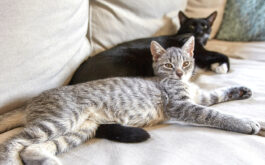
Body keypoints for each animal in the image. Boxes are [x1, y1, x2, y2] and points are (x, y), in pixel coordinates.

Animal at [0, 36, 262, 165]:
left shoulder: (200, 96)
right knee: (12, 143)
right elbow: (215, 115)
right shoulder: (181, 105)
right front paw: (246, 123)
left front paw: (242, 92)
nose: (180, 73)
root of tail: (32, 100)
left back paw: (49, 162)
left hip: (80, 131)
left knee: (32, 149)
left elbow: (218, 94)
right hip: (59, 121)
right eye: (169, 65)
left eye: (186, 63)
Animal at [69, 11, 228, 143]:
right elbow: (222, 55)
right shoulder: (203, 53)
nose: (199, 32)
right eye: (192, 25)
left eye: (205, 25)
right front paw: (221, 67)